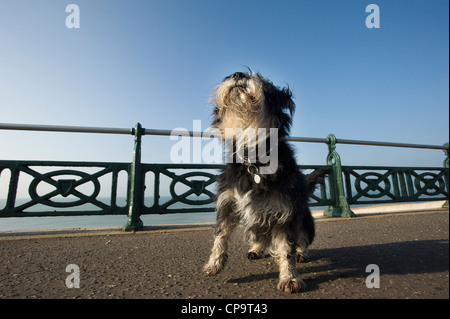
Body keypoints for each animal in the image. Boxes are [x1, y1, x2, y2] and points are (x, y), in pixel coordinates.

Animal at [204, 71, 326, 294]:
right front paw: (214, 263)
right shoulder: (228, 203)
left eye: (264, 81)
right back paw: (256, 249)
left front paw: (289, 277)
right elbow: (221, 235)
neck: (252, 159)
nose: (237, 74)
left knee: (301, 240)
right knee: (260, 234)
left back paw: (302, 253)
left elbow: (286, 248)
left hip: (305, 220)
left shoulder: (285, 211)